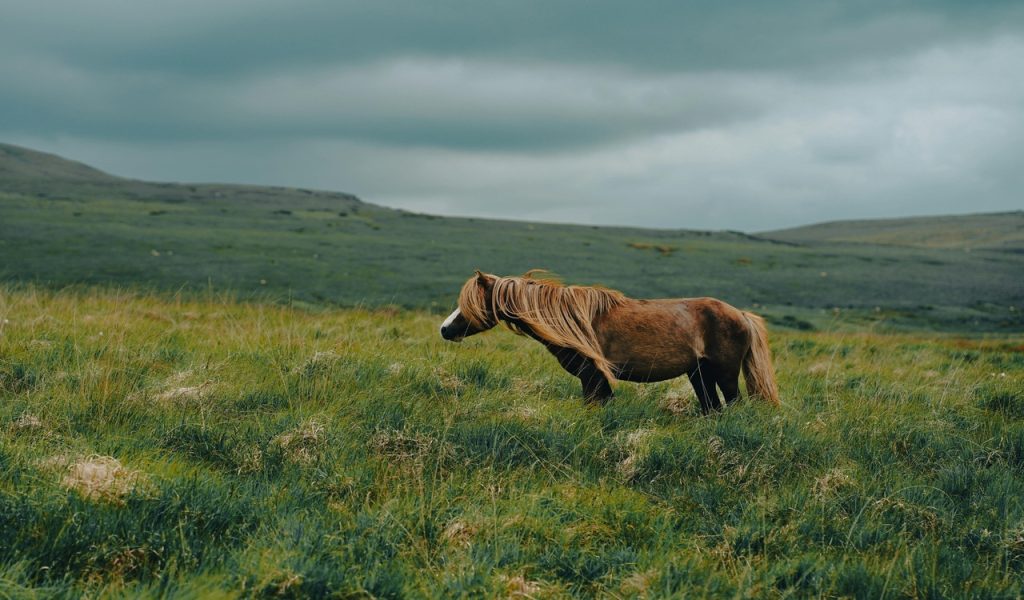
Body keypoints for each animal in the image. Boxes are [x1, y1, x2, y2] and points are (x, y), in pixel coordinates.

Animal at [439, 271, 779, 414]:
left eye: (469, 303)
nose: (444, 329)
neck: (570, 320)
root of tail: (741, 314)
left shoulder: (592, 376)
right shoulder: (595, 379)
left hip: (724, 373)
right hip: (699, 374)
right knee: (713, 408)